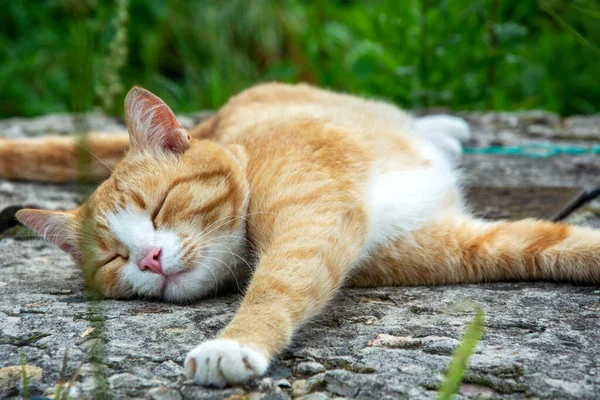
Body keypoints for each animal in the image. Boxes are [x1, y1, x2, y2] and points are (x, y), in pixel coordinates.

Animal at [1, 83, 600, 388]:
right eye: (112, 259)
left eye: (160, 206)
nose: (147, 258)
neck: (244, 155)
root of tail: (216, 118)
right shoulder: (454, 242)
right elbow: (551, 246)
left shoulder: (310, 221)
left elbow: (274, 285)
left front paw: (234, 342)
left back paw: (444, 128)